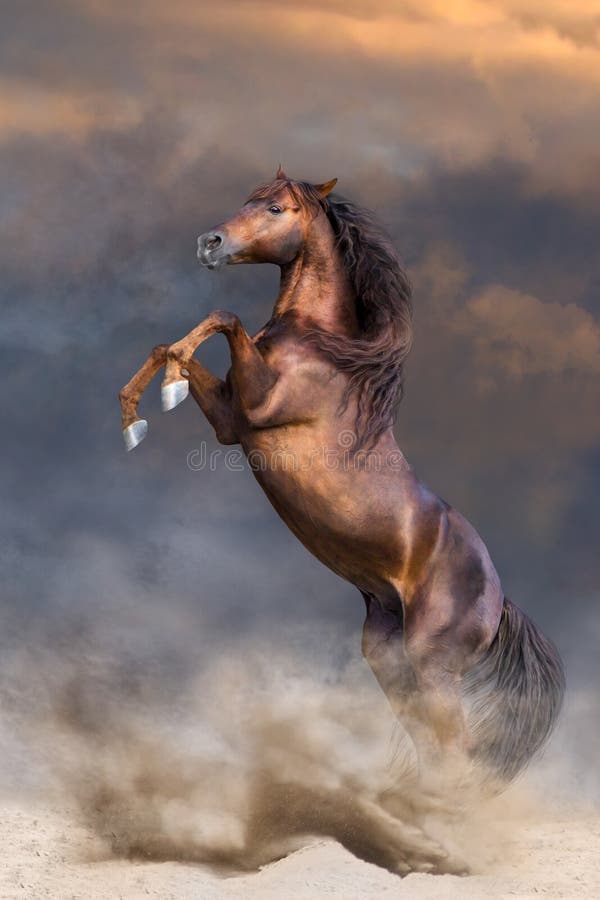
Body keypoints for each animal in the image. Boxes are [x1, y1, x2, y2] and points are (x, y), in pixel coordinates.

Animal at [119, 167, 565, 788]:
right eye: (248, 199)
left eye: (276, 208)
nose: (209, 243)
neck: (320, 347)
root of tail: (499, 602)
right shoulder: (232, 421)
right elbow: (172, 345)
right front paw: (138, 414)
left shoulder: (256, 406)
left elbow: (223, 317)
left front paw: (164, 391)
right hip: (390, 659)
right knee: (437, 752)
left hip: (433, 665)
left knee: (456, 754)